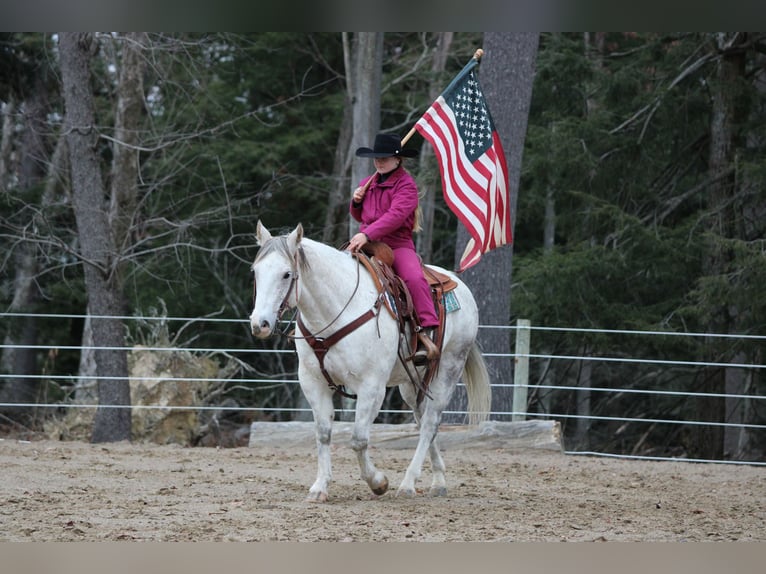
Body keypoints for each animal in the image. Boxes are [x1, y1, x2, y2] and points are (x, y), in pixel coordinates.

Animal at [249, 221, 491, 502]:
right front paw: (319, 487)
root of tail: (459, 283)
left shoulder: (371, 386)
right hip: (412, 382)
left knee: (430, 423)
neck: (336, 310)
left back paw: (408, 484)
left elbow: (359, 438)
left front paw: (378, 482)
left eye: (287, 274)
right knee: (423, 421)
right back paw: (438, 480)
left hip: (449, 369)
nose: (260, 324)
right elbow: (323, 434)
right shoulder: (313, 382)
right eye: (255, 271)